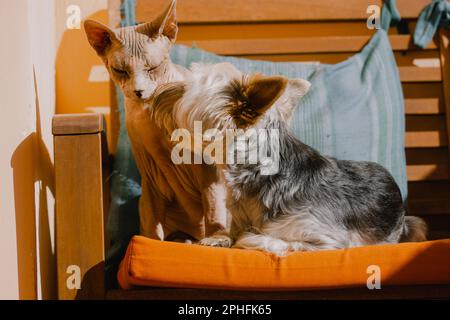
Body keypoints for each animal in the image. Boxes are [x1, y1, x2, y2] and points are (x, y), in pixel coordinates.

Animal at [153, 63, 428, 255]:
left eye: (187, 87)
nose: (159, 88)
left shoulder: (328, 239)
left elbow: (255, 238)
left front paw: (244, 237)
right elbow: (230, 232)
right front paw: (216, 238)